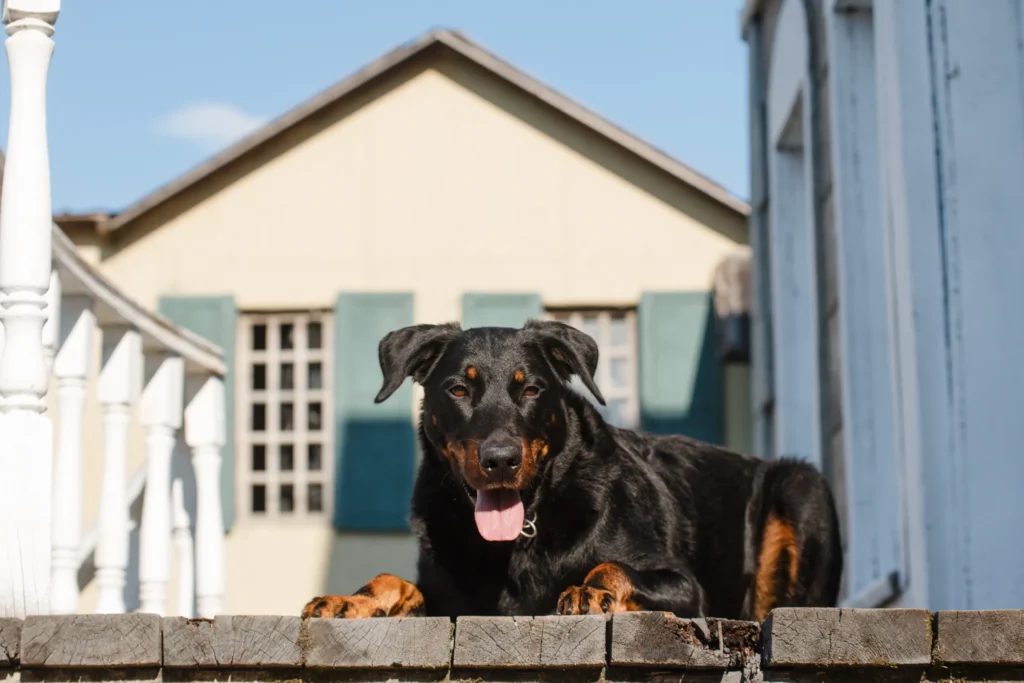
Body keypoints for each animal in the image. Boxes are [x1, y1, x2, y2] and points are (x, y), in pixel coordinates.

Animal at [299, 321, 843, 618]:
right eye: (457, 389)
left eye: (531, 388)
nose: (501, 460)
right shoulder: (448, 594)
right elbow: (392, 578)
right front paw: (351, 600)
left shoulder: (686, 586)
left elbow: (613, 565)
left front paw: (590, 589)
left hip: (801, 487)